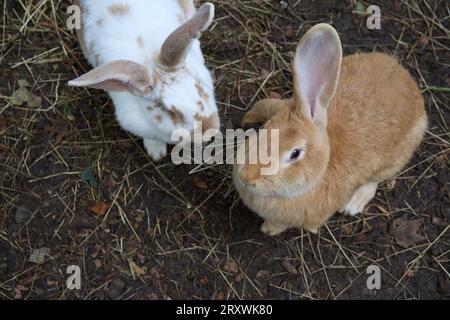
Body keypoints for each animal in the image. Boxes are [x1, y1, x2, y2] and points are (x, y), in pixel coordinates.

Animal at [234, 23, 428, 235]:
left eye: (295, 153)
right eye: (266, 128)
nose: (247, 177)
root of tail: (410, 84)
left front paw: (268, 230)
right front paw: (247, 119)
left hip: (397, 157)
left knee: (375, 180)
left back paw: (353, 204)